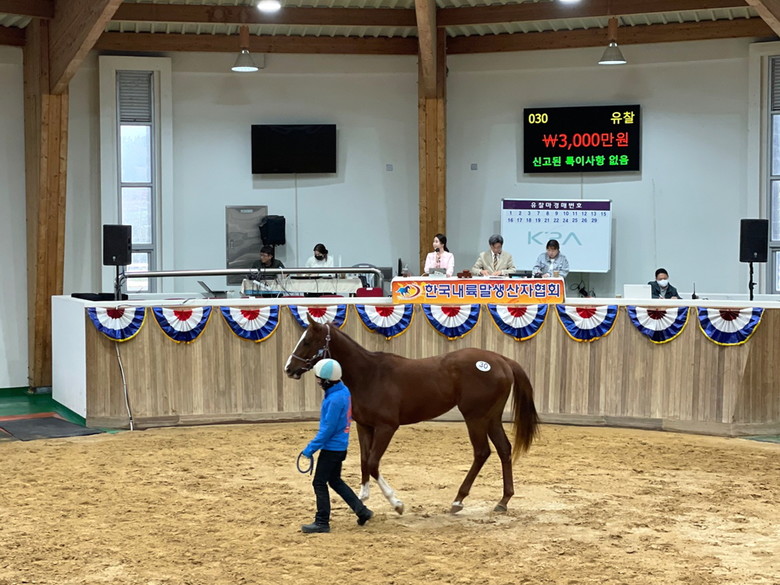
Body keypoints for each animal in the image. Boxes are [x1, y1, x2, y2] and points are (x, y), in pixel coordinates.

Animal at [284, 315, 540, 514]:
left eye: (307, 341)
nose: (288, 368)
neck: (369, 375)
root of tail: (501, 360)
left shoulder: (386, 427)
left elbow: (374, 463)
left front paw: (396, 503)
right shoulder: (364, 426)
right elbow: (365, 461)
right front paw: (363, 497)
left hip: (475, 418)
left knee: (482, 452)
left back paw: (458, 500)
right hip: (491, 417)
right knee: (504, 449)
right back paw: (503, 501)